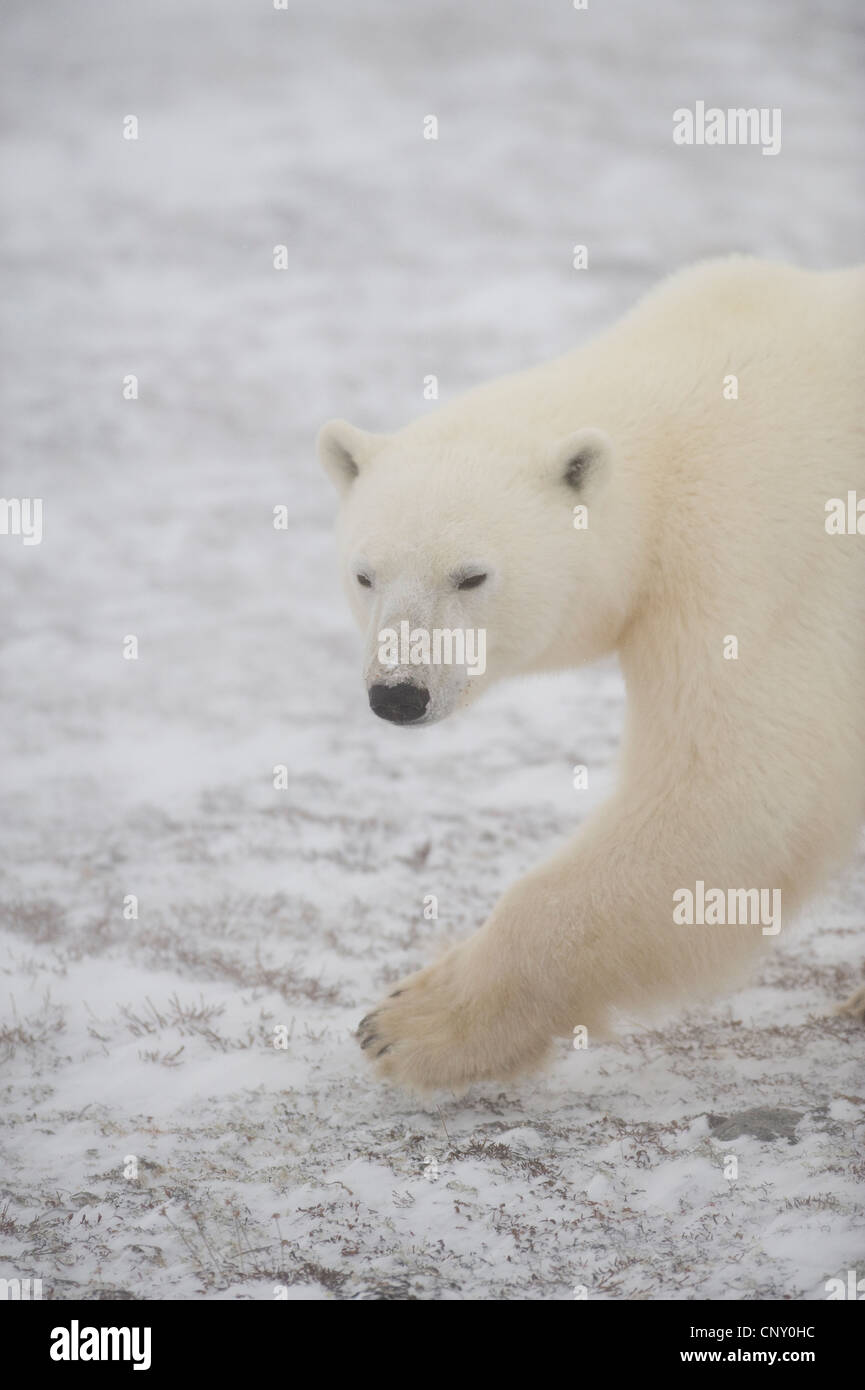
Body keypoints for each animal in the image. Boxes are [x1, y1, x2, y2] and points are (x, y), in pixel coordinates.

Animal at [318, 255, 865, 1089]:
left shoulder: (762, 550)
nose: (398, 695)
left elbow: (737, 788)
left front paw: (411, 1022)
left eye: (471, 576)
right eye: (364, 574)